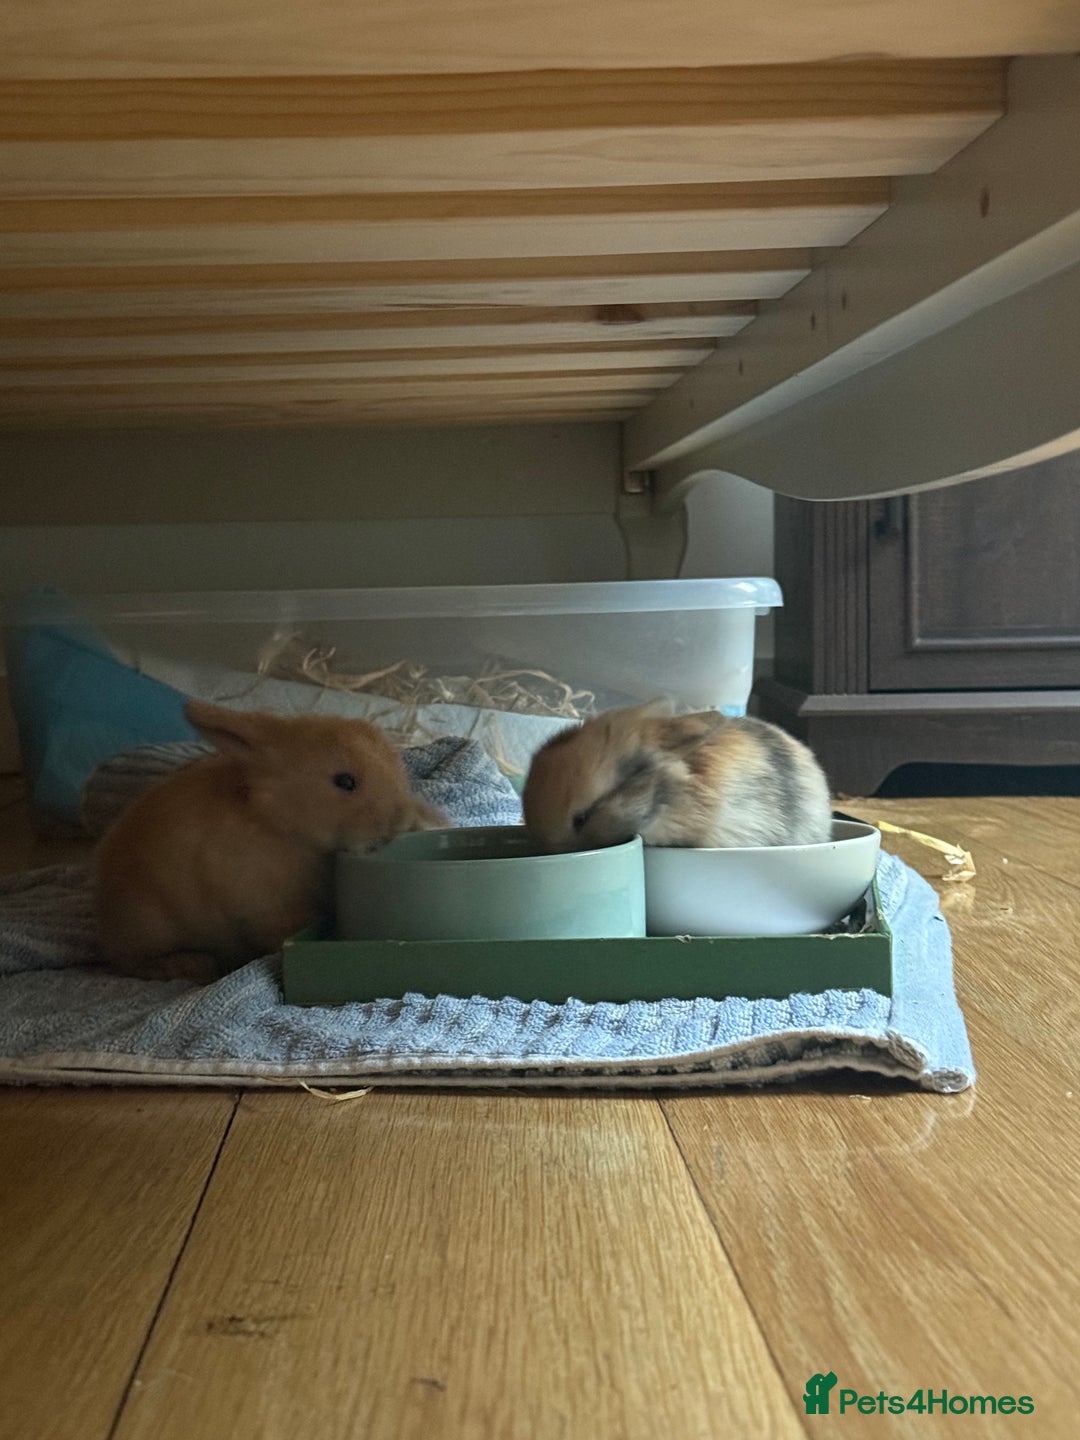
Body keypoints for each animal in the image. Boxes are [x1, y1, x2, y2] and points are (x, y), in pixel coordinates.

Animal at [95, 700, 445, 983]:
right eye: (345, 781)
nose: (401, 822)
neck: (278, 825)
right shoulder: (264, 910)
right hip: (149, 925)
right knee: (129, 963)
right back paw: (191, 965)